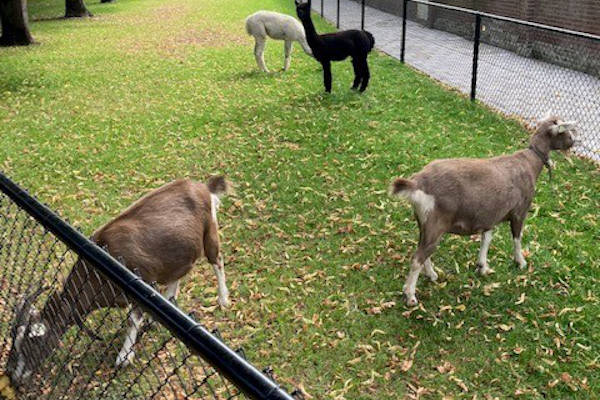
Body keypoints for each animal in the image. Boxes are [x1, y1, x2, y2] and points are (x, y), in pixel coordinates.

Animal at [7, 177, 232, 382]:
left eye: (33, 343)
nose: (14, 377)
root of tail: (203, 187)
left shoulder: (143, 280)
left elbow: (132, 320)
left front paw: (124, 357)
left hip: (210, 232)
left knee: (217, 260)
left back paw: (223, 299)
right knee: (177, 276)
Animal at [390, 115, 576, 306]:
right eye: (566, 132)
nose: (574, 142)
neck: (530, 163)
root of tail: (418, 183)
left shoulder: (490, 215)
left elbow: (487, 239)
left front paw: (482, 266)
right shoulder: (519, 211)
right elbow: (517, 238)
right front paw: (521, 262)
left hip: (424, 223)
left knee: (423, 250)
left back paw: (432, 275)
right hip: (436, 223)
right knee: (417, 258)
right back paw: (410, 295)